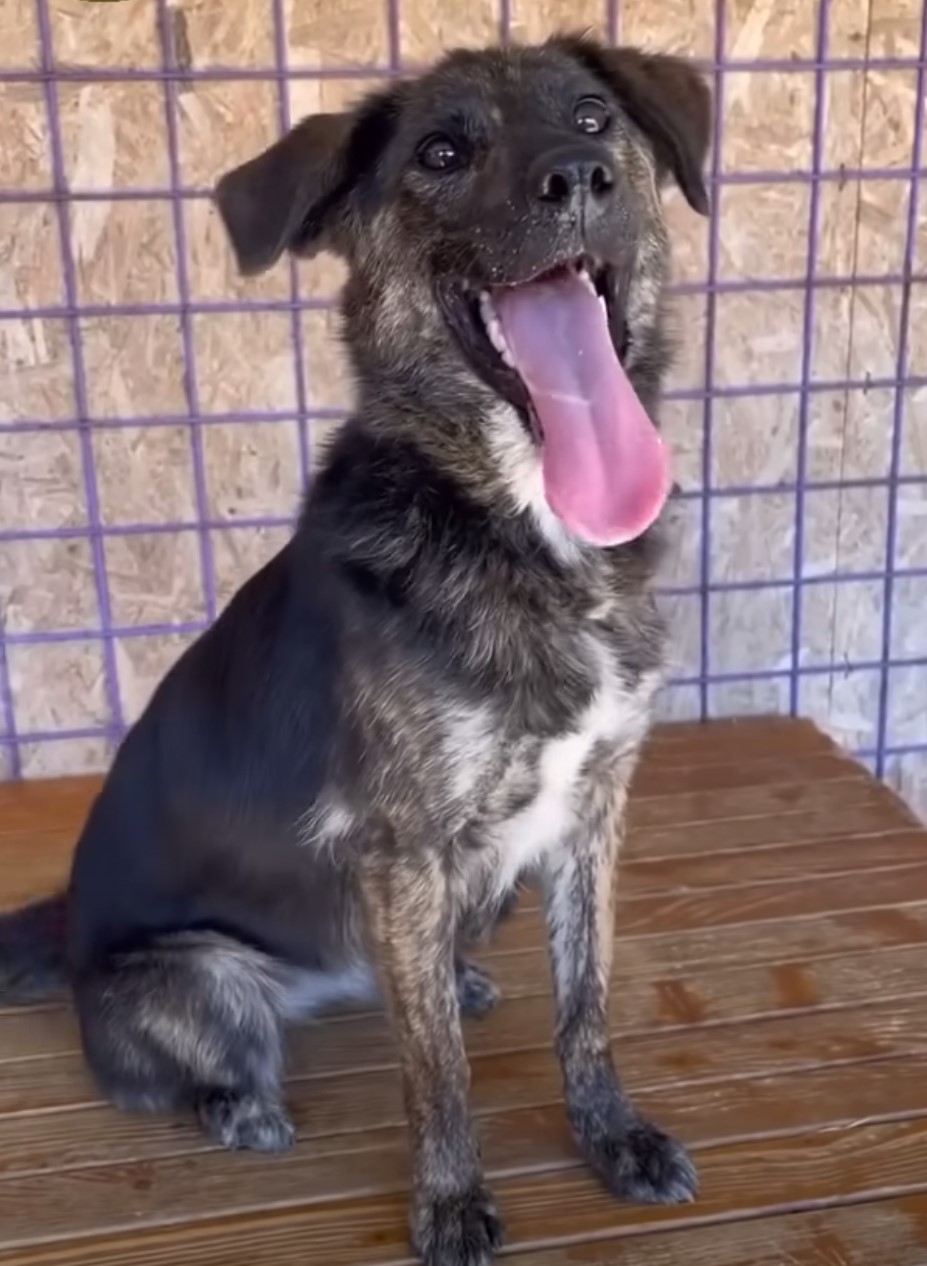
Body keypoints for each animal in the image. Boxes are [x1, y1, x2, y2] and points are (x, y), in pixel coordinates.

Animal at [0, 37, 709, 1266]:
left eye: (593, 117)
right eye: (441, 152)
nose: (577, 176)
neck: (532, 538)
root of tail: (71, 934)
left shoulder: (591, 811)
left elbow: (587, 1005)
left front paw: (611, 1136)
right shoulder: (403, 850)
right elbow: (436, 1074)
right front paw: (452, 1201)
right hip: (208, 980)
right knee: (173, 1069)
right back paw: (240, 1105)